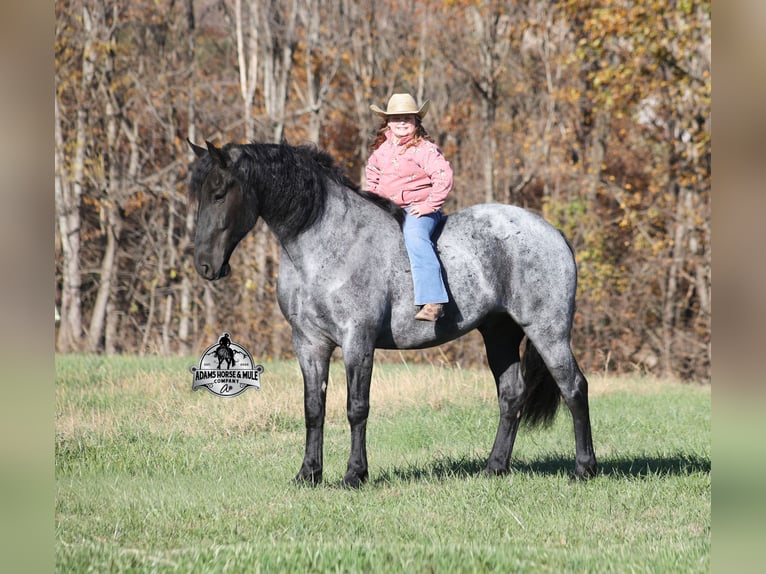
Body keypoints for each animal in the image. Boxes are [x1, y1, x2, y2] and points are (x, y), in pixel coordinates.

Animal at [187, 140, 597, 488]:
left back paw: (584, 469)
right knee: (511, 396)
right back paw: (494, 468)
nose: (205, 265)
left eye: (220, 193)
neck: (326, 244)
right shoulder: (309, 343)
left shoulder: (358, 341)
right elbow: (313, 409)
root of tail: (553, 233)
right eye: (198, 195)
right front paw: (308, 474)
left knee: (574, 388)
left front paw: (354, 475)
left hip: (548, 331)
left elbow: (356, 407)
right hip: (500, 334)